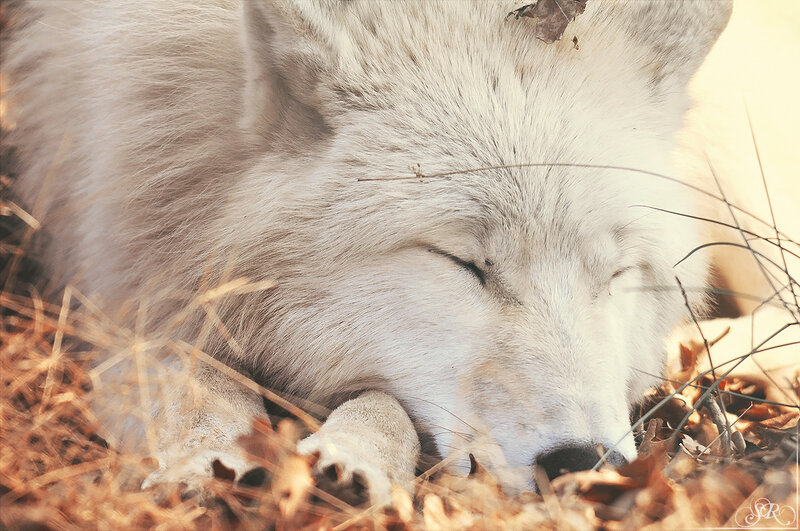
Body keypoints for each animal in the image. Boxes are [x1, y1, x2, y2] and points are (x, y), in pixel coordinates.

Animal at [3, 0, 755, 503]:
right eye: (463, 263)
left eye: (615, 274)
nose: (585, 461)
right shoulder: (126, 280)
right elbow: (195, 384)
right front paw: (212, 460)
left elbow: (385, 402)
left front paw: (353, 457)